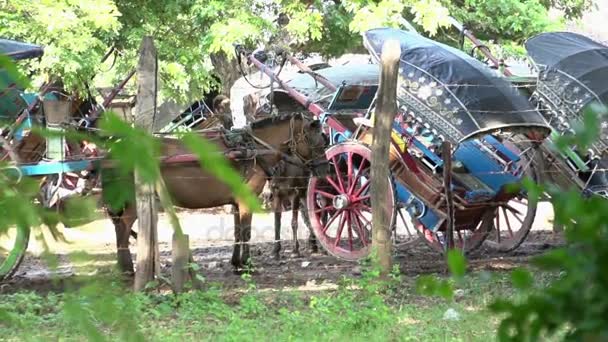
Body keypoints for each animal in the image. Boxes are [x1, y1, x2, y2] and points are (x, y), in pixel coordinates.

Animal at [106, 112, 330, 272]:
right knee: (123, 226)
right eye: (318, 142)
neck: (252, 150)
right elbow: (246, 231)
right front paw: (247, 264)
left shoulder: (236, 202)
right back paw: (126, 267)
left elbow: (238, 230)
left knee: (120, 225)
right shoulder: (247, 199)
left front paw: (236, 262)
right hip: (133, 199)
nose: (324, 169)